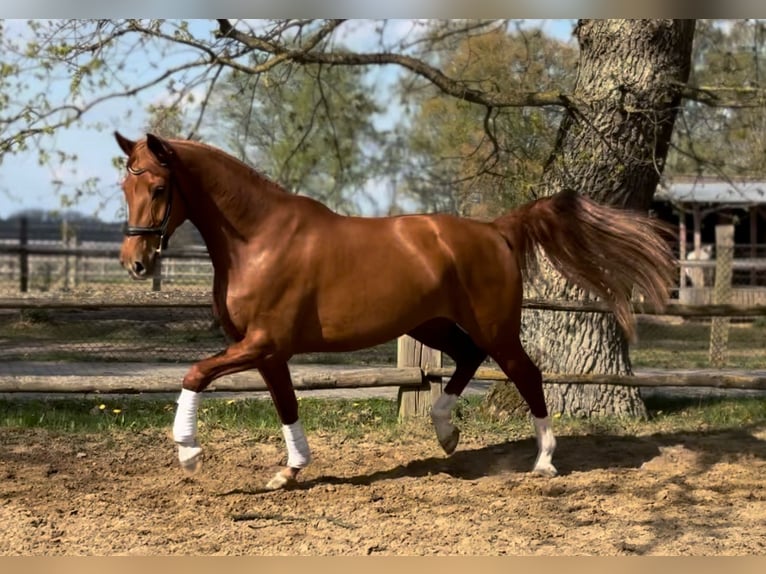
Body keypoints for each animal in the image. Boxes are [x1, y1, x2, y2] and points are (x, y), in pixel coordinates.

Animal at [115, 132, 675, 490]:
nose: (134, 262)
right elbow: (286, 404)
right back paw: (446, 433)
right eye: (125, 186)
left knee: (527, 373)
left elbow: (194, 374)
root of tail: (495, 230)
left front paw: (188, 453)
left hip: (495, 327)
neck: (258, 238)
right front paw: (288, 471)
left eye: (159, 188)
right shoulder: (267, 352)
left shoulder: (261, 344)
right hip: (432, 326)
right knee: (467, 359)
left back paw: (543, 462)